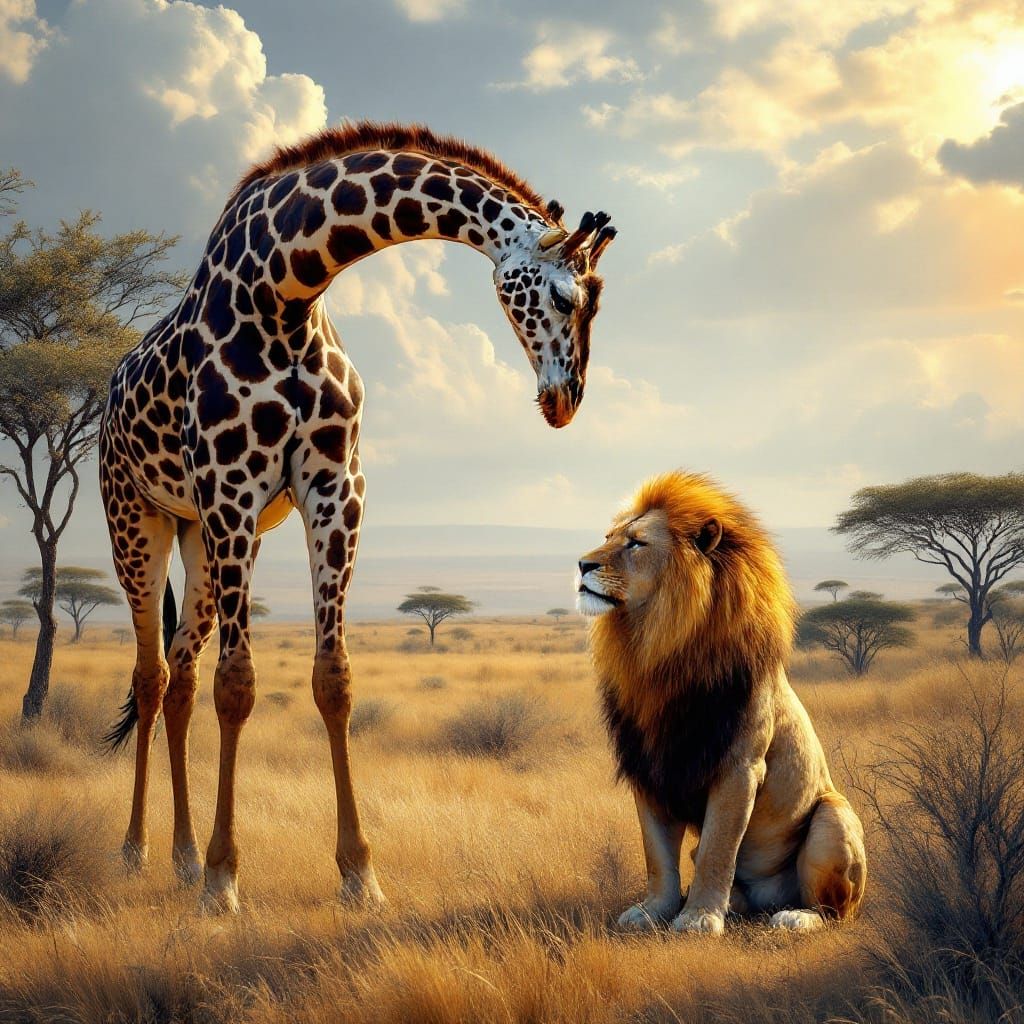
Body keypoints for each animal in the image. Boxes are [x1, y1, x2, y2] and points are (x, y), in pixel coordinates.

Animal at [99, 122, 616, 913]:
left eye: (597, 302)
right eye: (563, 295)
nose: (565, 401)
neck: (286, 288)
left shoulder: (335, 486)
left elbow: (332, 679)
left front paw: (358, 873)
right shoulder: (231, 483)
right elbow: (238, 684)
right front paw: (225, 878)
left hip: (198, 539)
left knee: (180, 674)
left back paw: (181, 856)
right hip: (140, 523)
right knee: (151, 676)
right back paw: (138, 851)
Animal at [576, 471, 866, 933]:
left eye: (636, 543)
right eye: (608, 538)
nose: (582, 565)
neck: (658, 653)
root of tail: (769, 898)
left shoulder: (740, 767)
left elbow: (717, 849)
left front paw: (698, 919)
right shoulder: (650, 763)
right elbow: (657, 855)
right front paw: (654, 910)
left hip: (833, 817)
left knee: (835, 912)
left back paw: (795, 917)